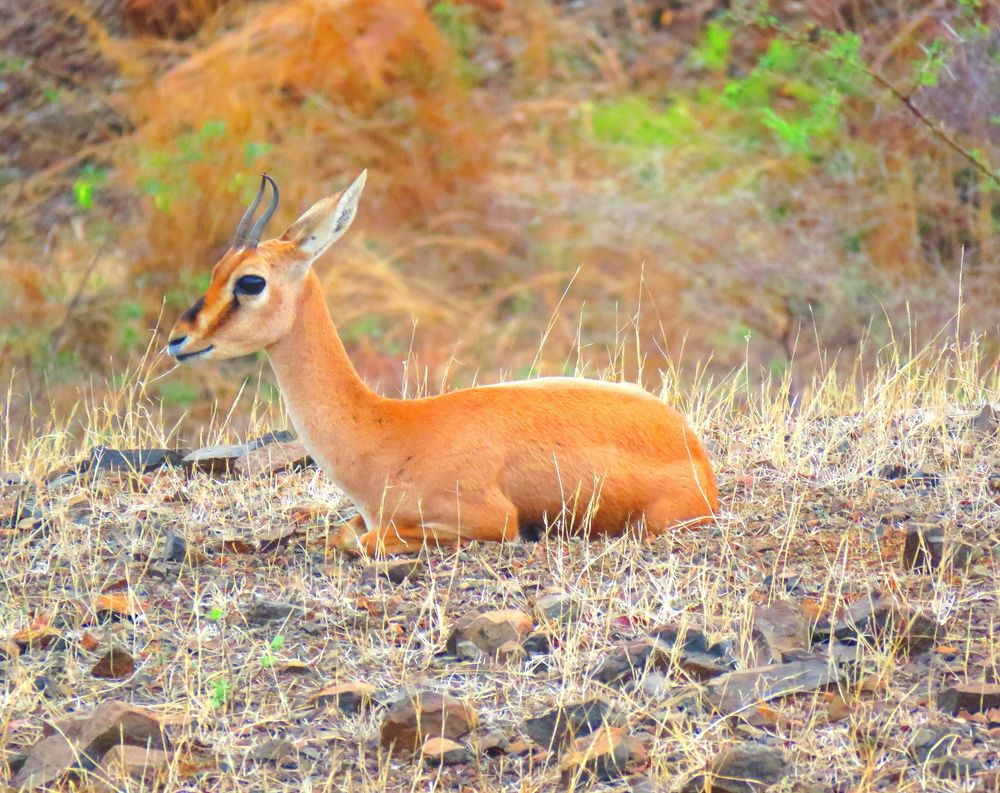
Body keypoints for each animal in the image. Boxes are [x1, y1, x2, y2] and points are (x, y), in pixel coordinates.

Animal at [168, 173, 719, 555]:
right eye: (217, 269)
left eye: (250, 281)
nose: (178, 339)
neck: (387, 433)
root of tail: (692, 447)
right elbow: (347, 532)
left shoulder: (487, 520)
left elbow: (365, 541)